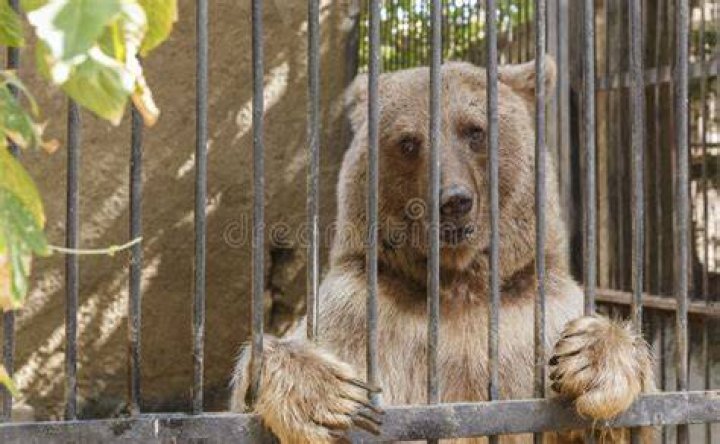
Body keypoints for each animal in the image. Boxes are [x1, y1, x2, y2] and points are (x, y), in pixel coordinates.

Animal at [229, 57, 654, 443]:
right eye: (408, 141)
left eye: (474, 131)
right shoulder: (362, 312)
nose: (453, 200)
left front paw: (592, 356)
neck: (458, 287)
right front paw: (322, 391)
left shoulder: (534, 316)